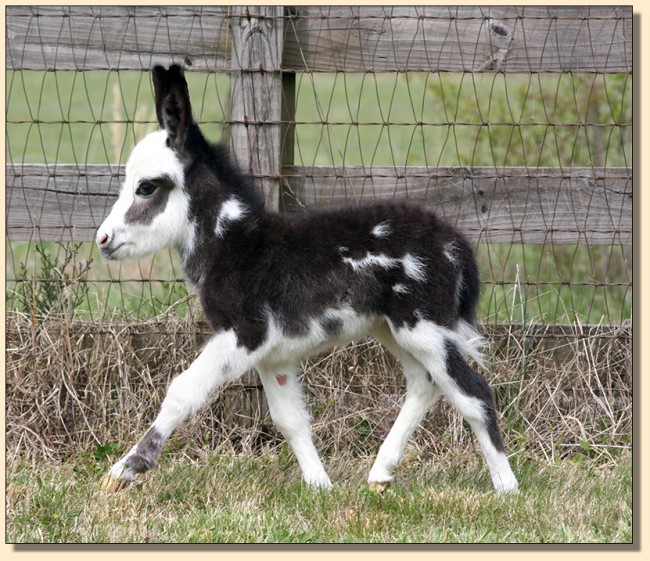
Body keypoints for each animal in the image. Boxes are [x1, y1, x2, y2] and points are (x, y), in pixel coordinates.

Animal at [96, 65, 516, 492]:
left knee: (474, 393)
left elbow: (181, 392)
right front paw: (319, 485)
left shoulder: (246, 333)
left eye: (146, 187)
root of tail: (456, 244)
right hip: (393, 328)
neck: (236, 244)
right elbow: (290, 420)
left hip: (424, 324)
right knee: (425, 383)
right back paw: (380, 474)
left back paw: (506, 487)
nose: (103, 240)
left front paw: (122, 472)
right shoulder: (272, 353)